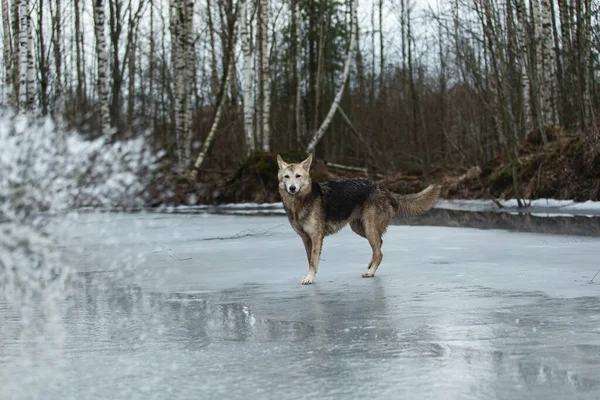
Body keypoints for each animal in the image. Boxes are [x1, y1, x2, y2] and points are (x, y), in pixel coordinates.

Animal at [276, 153, 440, 284]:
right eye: (286, 177)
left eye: (298, 176)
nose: (292, 188)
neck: (299, 202)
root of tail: (383, 188)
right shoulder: (305, 238)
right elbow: (309, 259)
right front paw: (309, 276)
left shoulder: (316, 237)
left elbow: (312, 261)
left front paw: (309, 278)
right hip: (360, 229)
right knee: (379, 244)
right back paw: (370, 265)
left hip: (368, 227)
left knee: (379, 252)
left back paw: (370, 272)